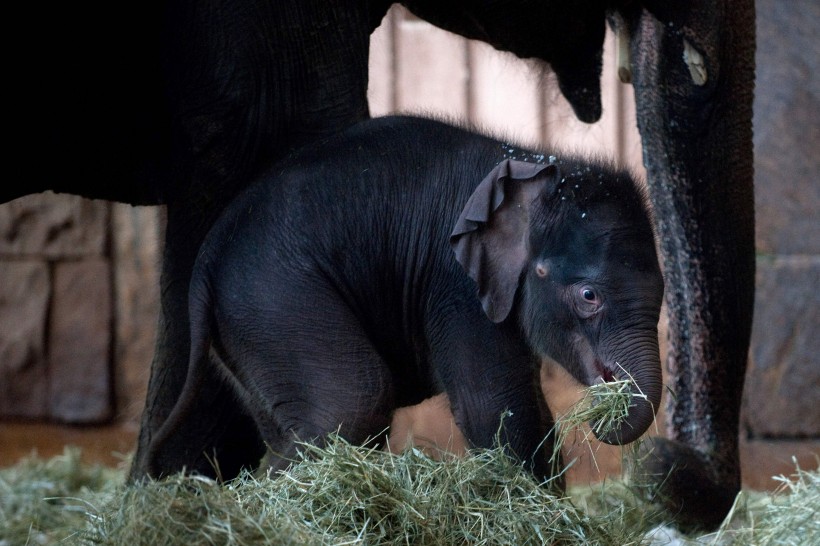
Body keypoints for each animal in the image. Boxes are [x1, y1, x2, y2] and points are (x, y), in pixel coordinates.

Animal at [147, 116, 664, 480]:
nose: (603, 415)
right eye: (589, 295)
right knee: (350, 401)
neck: (537, 167)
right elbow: (493, 404)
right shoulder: (455, 284)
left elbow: (527, 403)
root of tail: (207, 259)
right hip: (273, 298)